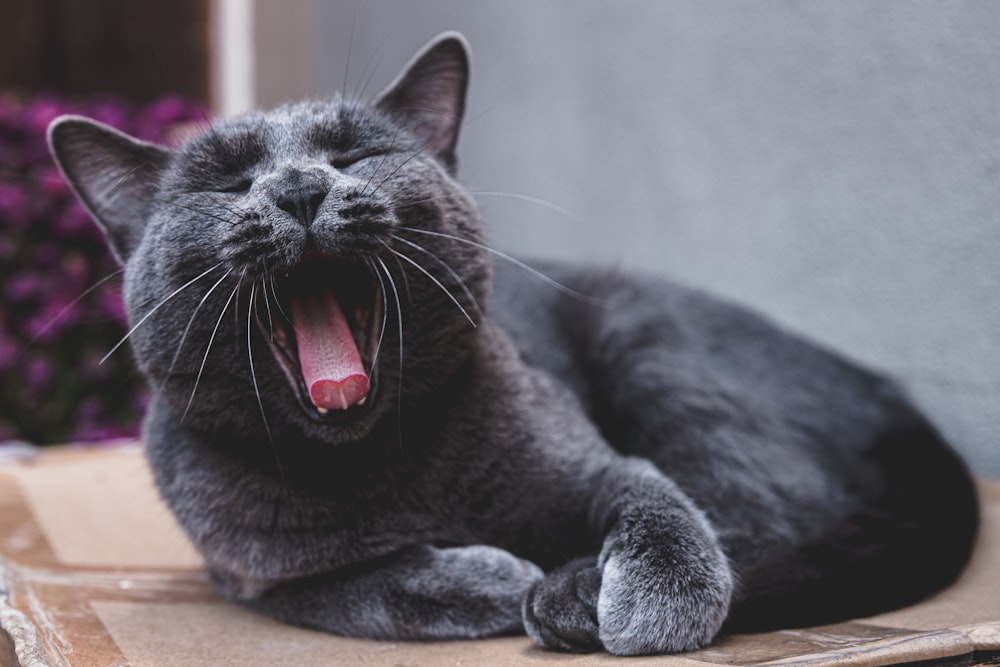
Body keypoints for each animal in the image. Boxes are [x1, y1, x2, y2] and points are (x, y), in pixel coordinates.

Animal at [48, 32, 976, 656]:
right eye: (228, 184)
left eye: (356, 154)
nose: (301, 187)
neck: (382, 466)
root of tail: (893, 394)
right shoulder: (246, 569)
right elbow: (348, 586)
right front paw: (494, 576)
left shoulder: (602, 465)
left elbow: (664, 506)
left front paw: (642, 600)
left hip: (651, 345)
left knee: (769, 515)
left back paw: (572, 592)